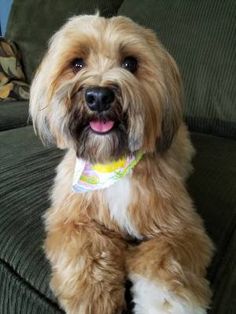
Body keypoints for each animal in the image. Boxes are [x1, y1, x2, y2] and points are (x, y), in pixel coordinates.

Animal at [29, 14, 214, 314]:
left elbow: (167, 265)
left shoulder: (180, 228)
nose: (98, 96)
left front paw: (164, 304)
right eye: (77, 63)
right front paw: (94, 300)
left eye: (130, 63)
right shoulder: (72, 220)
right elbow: (86, 253)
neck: (110, 161)